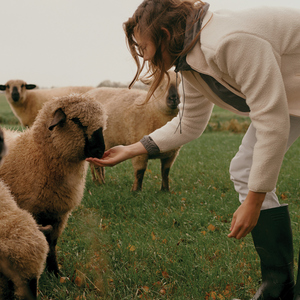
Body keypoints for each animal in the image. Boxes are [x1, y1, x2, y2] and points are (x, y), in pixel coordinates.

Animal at [0, 94, 106, 276]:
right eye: (76, 120)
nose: (101, 150)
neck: (33, 152)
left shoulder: (59, 214)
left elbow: (52, 244)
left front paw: (56, 272)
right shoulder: (32, 212)